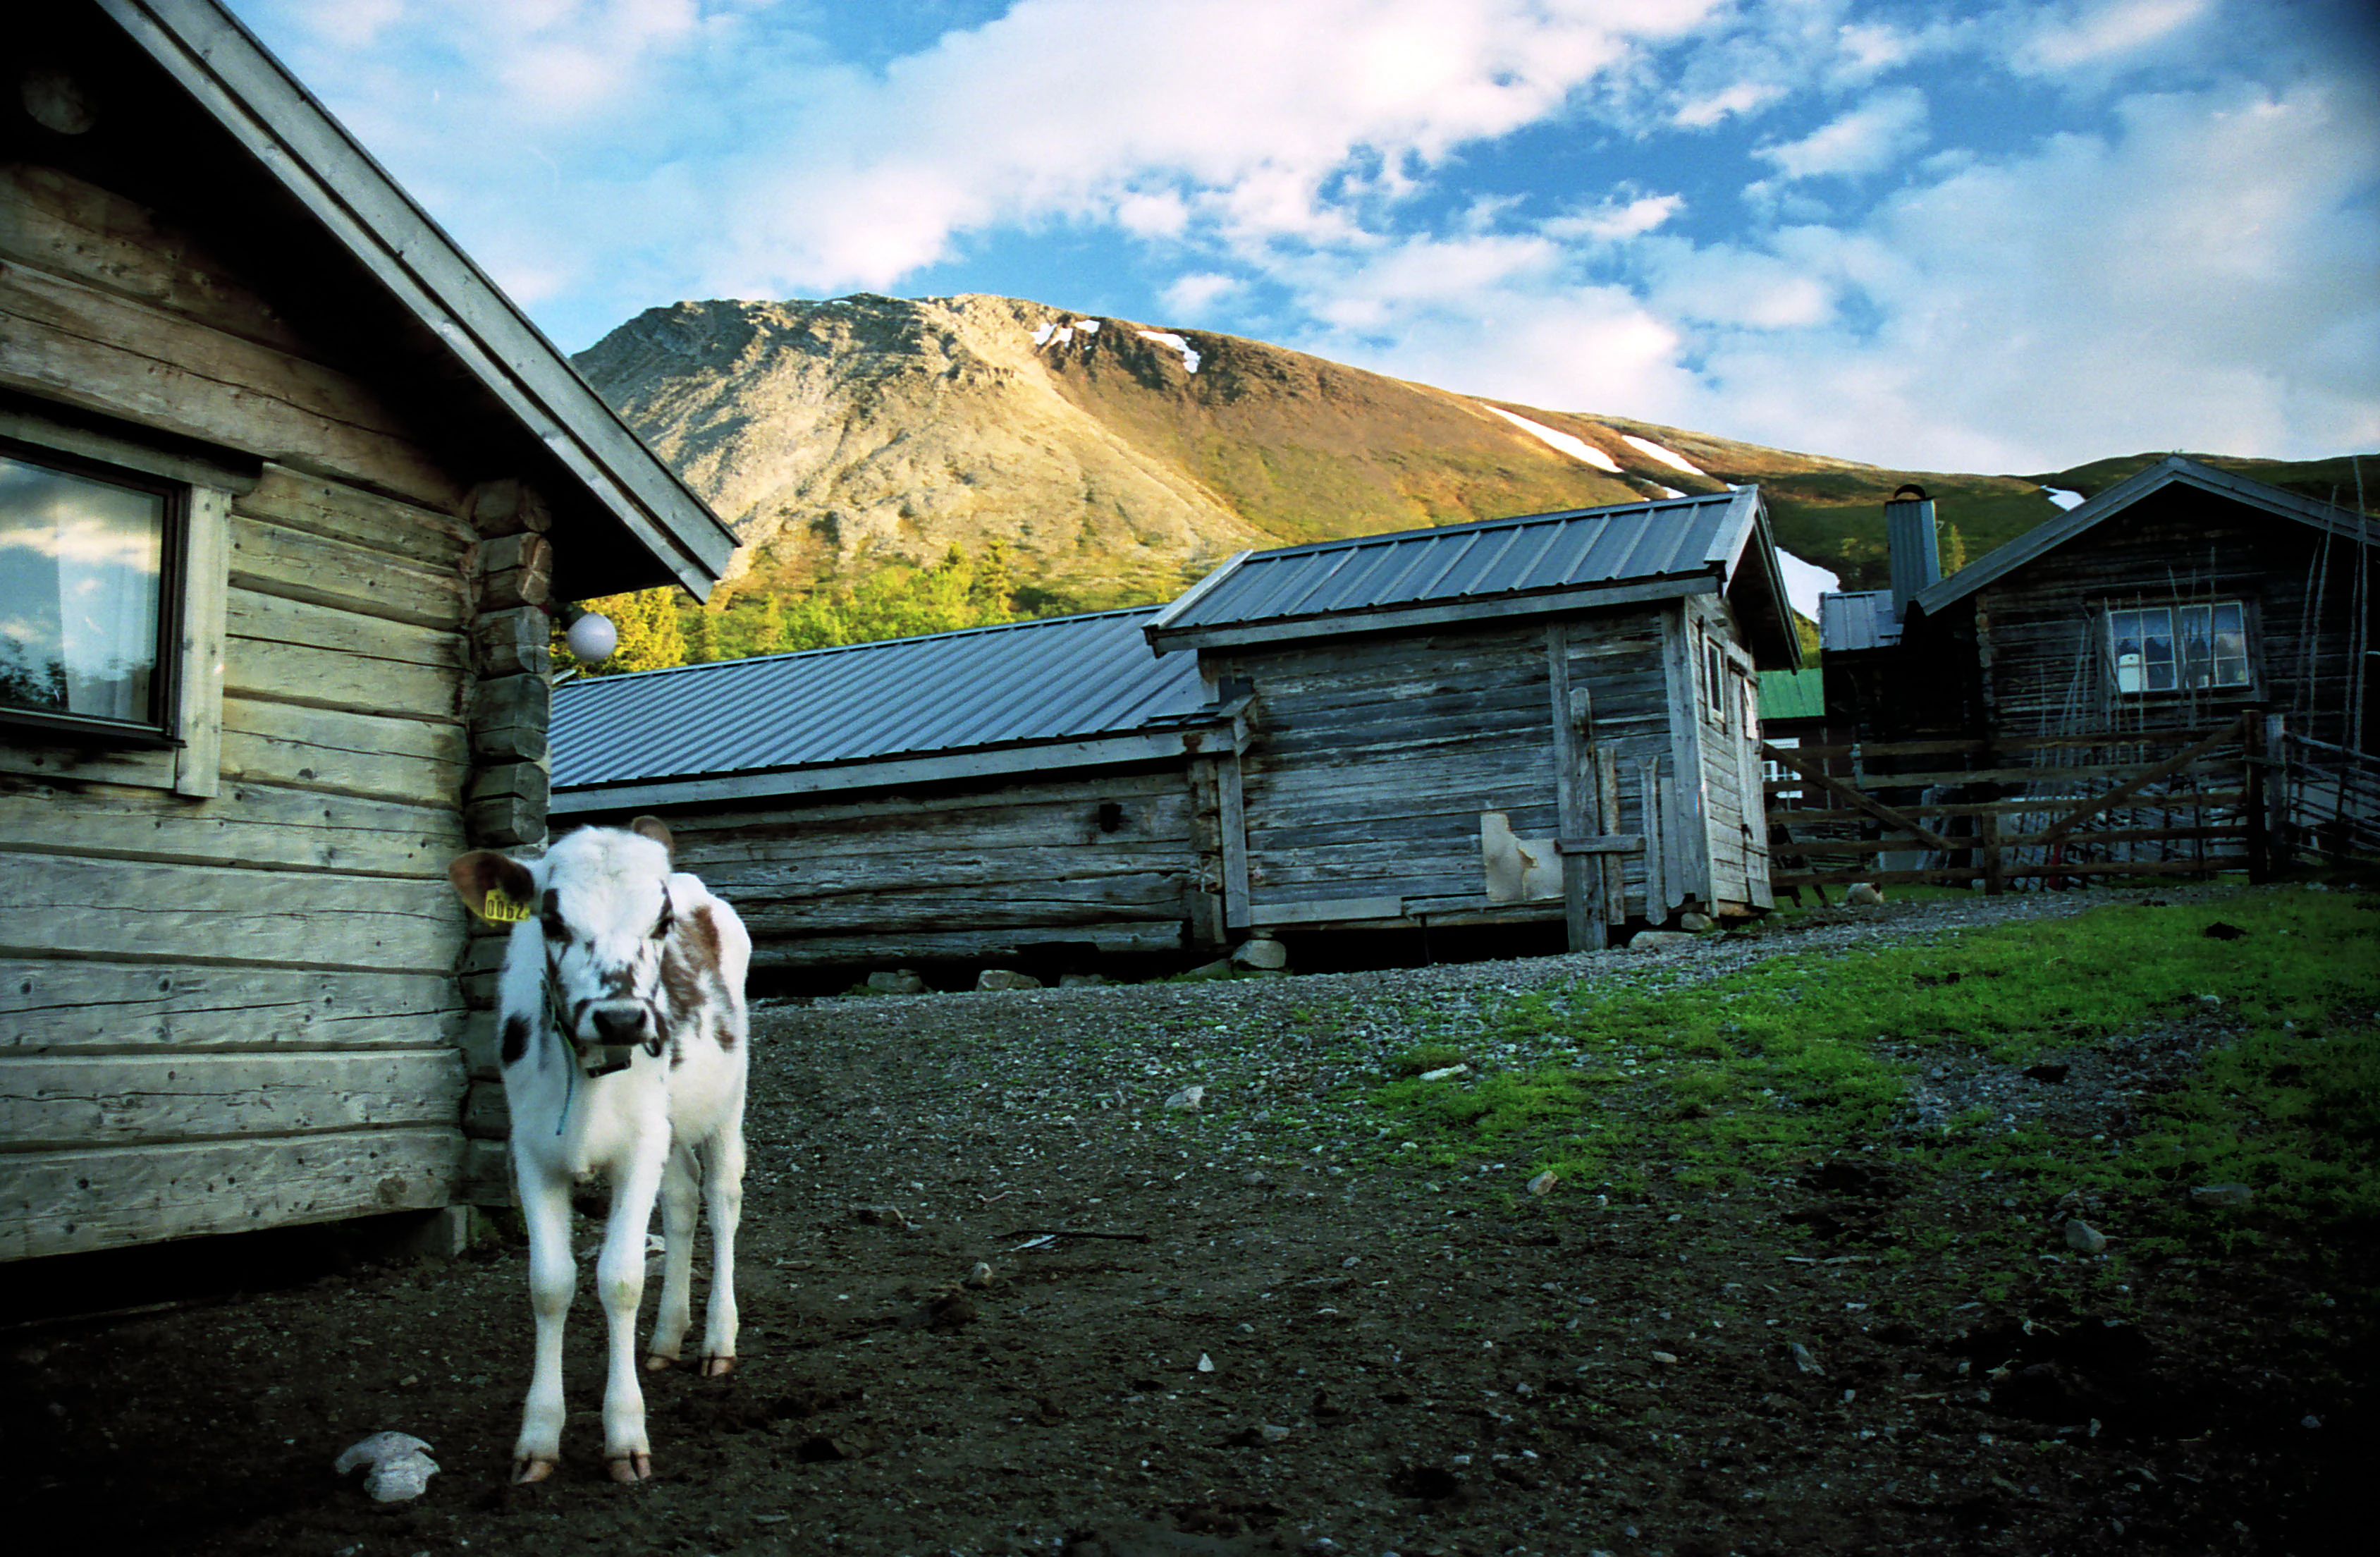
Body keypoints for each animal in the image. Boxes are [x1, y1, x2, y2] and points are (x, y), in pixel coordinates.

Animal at [447, 816, 751, 1483]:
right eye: (553, 921)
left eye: (661, 924)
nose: (620, 1018)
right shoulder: (532, 1152)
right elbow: (550, 1283)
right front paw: (538, 1437)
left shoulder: (638, 1150)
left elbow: (620, 1278)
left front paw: (625, 1434)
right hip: (670, 1123)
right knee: (684, 1199)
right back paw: (666, 1339)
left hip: (728, 1096)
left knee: (722, 1197)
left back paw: (718, 1340)